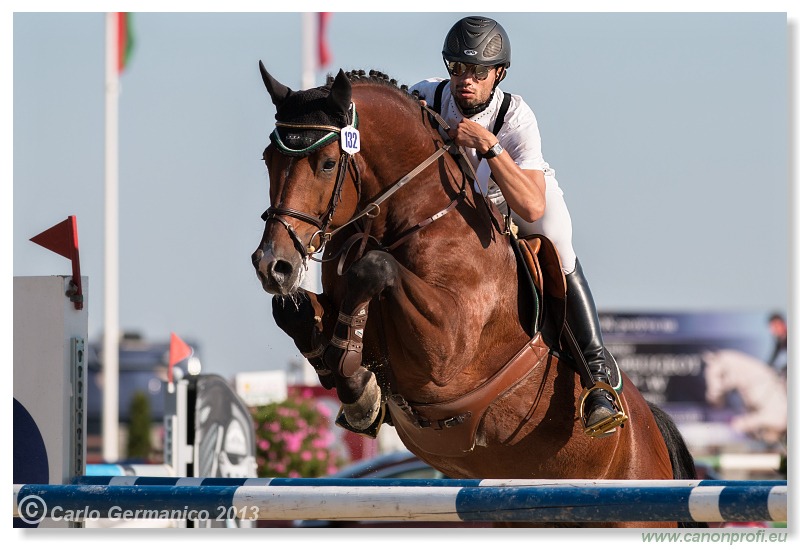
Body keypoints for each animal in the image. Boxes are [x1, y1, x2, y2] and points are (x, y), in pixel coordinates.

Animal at [250, 66, 700, 532]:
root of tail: (651, 429)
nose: (273, 265)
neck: (405, 220)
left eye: (326, 163)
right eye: (268, 158)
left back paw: (600, 401)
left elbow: (375, 269)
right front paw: (355, 386)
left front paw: (356, 381)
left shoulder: (446, 349)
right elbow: (293, 309)